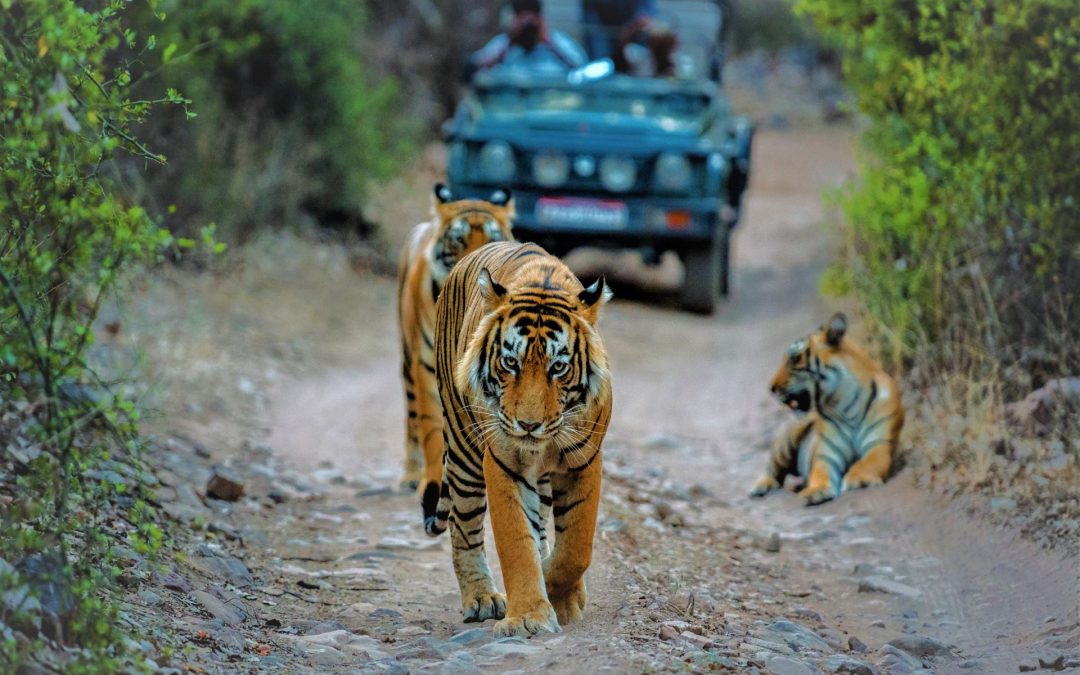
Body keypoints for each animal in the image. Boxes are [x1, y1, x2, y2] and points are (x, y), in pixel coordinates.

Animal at [397, 183, 515, 491]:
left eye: (492, 239)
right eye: (459, 240)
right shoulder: (426, 365)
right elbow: (431, 430)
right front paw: (431, 481)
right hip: (408, 360)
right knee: (412, 417)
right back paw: (410, 475)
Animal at [426, 241, 612, 638]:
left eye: (559, 367)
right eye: (510, 363)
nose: (528, 425)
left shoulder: (586, 460)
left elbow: (577, 547)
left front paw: (561, 592)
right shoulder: (504, 462)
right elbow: (516, 543)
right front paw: (528, 615)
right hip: (463, 450)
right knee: (464, 528)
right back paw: (481, 599)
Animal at [750, 312, 904, 506]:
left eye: (793, 358)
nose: (771, 388)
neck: (845, 403)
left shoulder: (879, 444)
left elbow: (866, 463)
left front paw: (858, 479)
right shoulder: (826, 454)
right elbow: (819, 473)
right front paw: (815, 491)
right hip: (788, 438)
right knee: (773, 469)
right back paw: (760, 487)